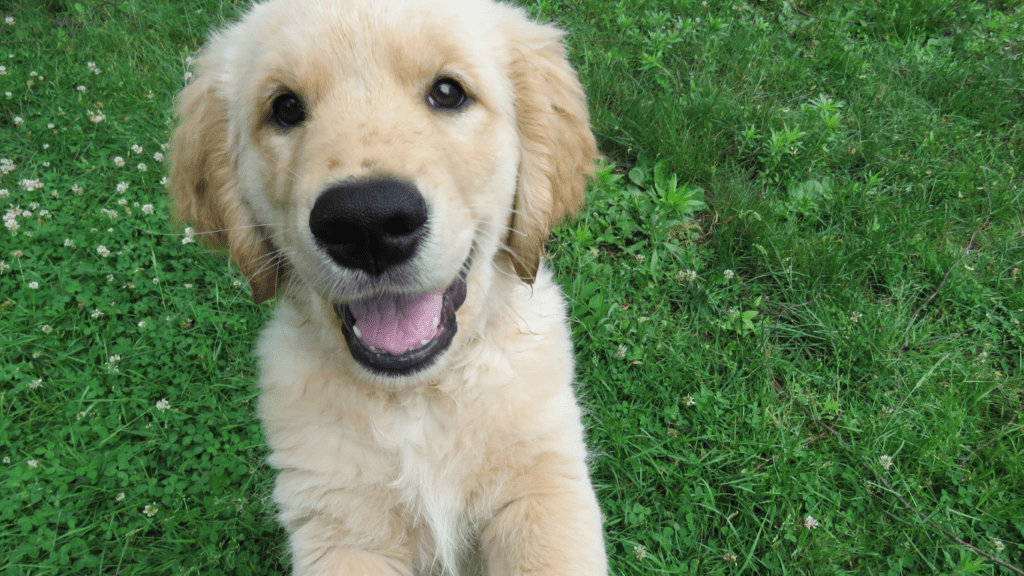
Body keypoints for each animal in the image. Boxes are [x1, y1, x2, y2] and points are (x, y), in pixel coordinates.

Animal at [164, 0, 602, 569]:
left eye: (448, 92)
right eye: (285, 107)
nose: (366, 223)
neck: (417, 400)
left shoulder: (542, 487)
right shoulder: (337, 521)